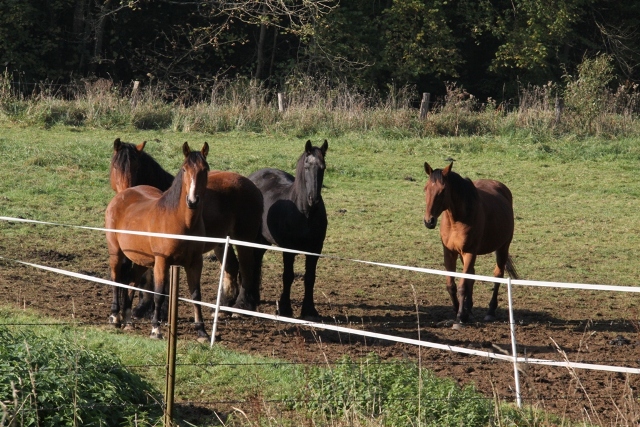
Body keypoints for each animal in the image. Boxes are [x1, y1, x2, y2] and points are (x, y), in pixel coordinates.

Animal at [105, 142, 210, 342]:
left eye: (205, 169)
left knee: (131, 282)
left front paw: (202, 332)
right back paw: (115, 317)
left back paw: (128, 321)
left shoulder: (195, 263)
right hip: (116, 252)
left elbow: (196, 295)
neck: (182, 221)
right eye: (184, 169)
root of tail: (122, 194)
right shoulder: (162, 262)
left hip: (141, 260)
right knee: (116, 279)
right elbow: (159, 294)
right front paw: (156, 329)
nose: (193, 201)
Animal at [109, 139, 264, 316]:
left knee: (246, 268)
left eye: (137, 167)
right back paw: (224, 307)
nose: (124, 193)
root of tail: (253, 187)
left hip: (243, 239)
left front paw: (159, 310)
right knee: (232, 267)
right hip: (221, 243)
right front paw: (143, 307)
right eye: (115, 166)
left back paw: (240, 306)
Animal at [249, 139, 330, 320]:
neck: (305, 213)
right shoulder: (288, 249)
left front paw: (309, 310)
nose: (313, 199)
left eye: (323, 167)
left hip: (263, 240)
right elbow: (288, 276)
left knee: (257, 259)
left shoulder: (315, 248)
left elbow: (310, 278)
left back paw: (255, 297)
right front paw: (285, 308)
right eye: (307, 166)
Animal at [422, 162, 516, 330]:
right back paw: (469, 310)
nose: (429, 221)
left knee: (497, 275)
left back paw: (490, 312)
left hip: (503, 247)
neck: (457, 219)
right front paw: (458, 312)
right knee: (472, 275)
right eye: (426, 188)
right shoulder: (450, 253)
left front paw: (460, 318)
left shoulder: (469, 252)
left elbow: (462, 286)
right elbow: (451, 285)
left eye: (443, 190)